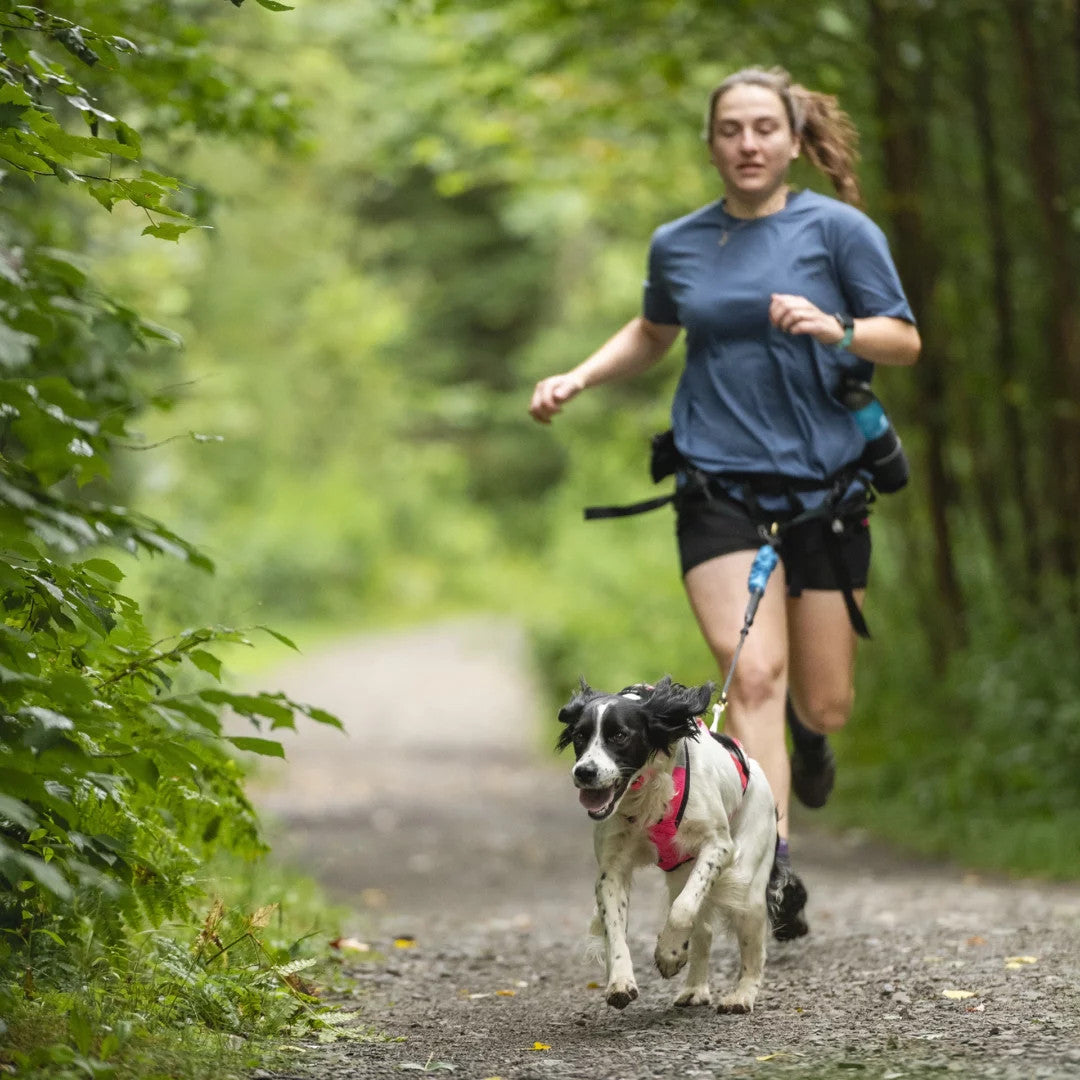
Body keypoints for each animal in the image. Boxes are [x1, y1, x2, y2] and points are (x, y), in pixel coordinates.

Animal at [561, 673, 781, 1010]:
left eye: (619, 735)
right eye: (579, 736)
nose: (585, 771)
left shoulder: (718, 846)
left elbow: (682, 910)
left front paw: (668, 954)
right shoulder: (611, 871)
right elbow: (615, 929)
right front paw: (620, 982)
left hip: (748, 886)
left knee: (753, 948)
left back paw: (741, 995)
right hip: (681, 873)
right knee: (704, 931)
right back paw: (694, 989)